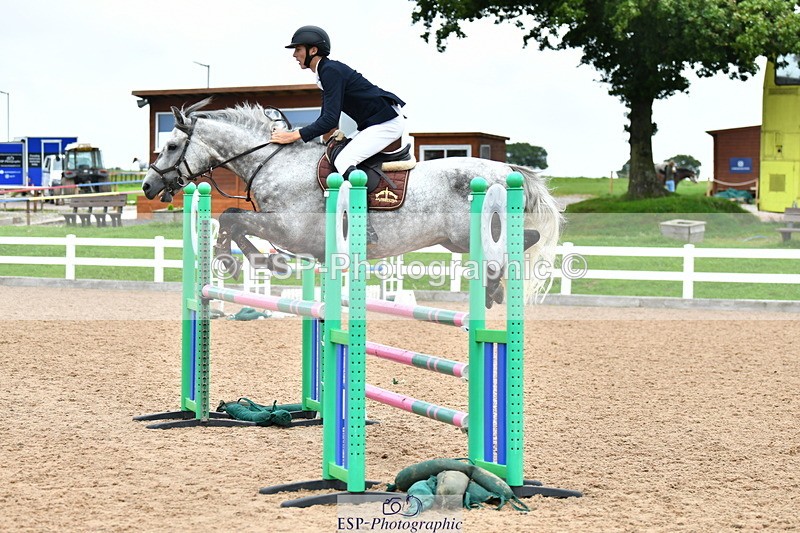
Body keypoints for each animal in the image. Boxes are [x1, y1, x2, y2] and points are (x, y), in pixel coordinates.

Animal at [141, 98, 562, 307]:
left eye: (172, 146)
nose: (147, 186)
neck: (274, 161)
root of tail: (505, 168)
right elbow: (231, 220)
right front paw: (249, 260)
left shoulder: (288, 228)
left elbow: (233, 217)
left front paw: (258, 262)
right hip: (456, 240)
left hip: (469, 233)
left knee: (521, 242)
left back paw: (492, 286)